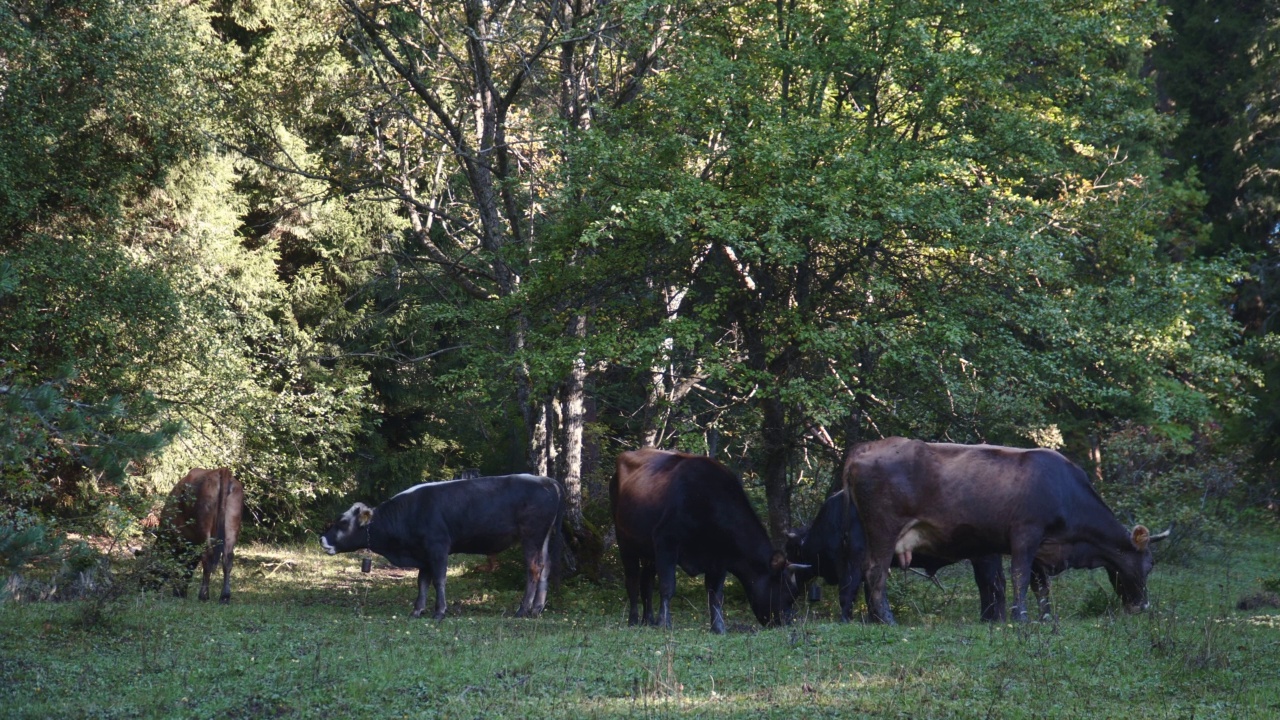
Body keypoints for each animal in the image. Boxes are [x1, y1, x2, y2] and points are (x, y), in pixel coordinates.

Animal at [152, 466, 244, 599]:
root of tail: (221, 470)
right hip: (232, 525)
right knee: (228, 558)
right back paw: (225, 596)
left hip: (204, 527)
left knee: (207, 557)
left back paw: (203, 595)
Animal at [317, 471, 558, 617]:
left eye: (343, 522)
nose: (322, 539)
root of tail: (546, 480)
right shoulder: (423, 553)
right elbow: (422, 581)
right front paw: (417, 610)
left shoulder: (438, 547)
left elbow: (439, 579)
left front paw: (440, 611)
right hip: (544, 538)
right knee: (546, 567)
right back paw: (537, 608)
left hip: (531, 535)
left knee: (534, 568)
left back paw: (523, 609)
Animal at [606, 448, 798, 632]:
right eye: (788, 594)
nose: (787, 622)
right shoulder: (666, 541)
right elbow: (667, 586)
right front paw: (664, 623)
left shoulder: (720, 559)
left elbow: (715, 595)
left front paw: (718, 627)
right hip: (625, 542)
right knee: (632, 581)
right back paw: (633, 620)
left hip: (649, 552)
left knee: (646, 582)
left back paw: (648, 620)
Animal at [844, 438, 1167, 622]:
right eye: (1150, 564)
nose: (1143, 606)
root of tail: (865, 448)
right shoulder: (1026, 534)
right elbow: (1019, 577)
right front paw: (1019, 616)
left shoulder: (1043, 548)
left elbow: (1040, 586)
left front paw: (1045, 617)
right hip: (883, 529)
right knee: (875, 570)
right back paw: (886, 618)